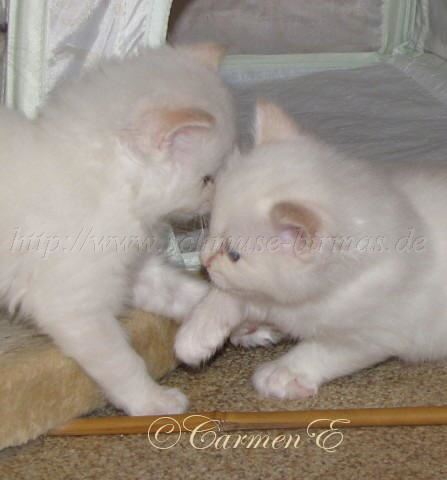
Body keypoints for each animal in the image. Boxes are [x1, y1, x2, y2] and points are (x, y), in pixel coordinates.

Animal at [0, 43, 236, 415]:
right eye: (207, 180)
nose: (220, 202)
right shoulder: (74, 305)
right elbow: (123, 363)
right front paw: (151, 401)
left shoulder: (131, 270)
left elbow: (187, 292)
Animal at [175, 100, 447, 400]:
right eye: (211, 229)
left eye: (234, 254)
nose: (204, 261)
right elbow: (225, 297)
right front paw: (197, 337)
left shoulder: (372, 334)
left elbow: (318, 350)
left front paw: (281, 373)